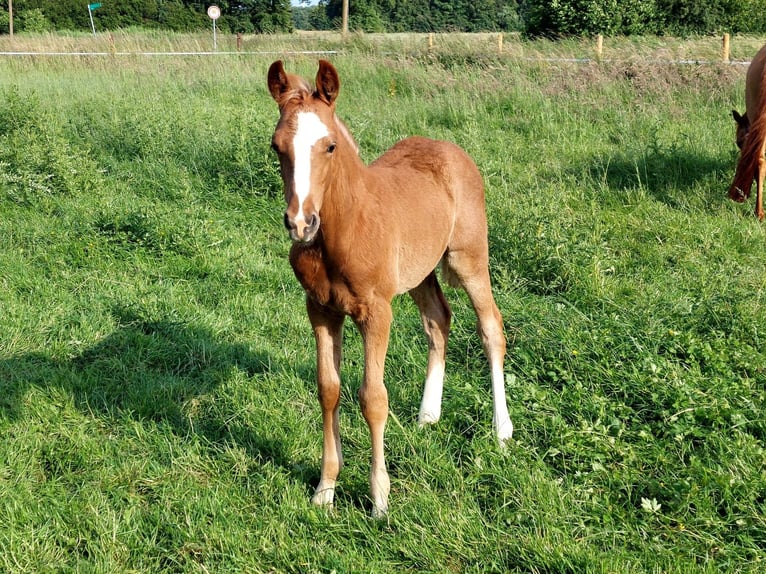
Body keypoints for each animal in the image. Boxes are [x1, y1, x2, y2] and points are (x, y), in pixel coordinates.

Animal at [268, 59, 512, 516]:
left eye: (330, 146)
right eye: (277, 147)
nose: (301, 223)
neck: (345, 227)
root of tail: (451, 149)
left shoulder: (376, 312)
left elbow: (372, 398)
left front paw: (379, 498)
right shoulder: (320, 309)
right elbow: (329, 389)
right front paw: (325, 489)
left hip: (469, 258)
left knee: (491, 328)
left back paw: (502, 429)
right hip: (419, 273)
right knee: (439, 320)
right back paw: (428, 415)